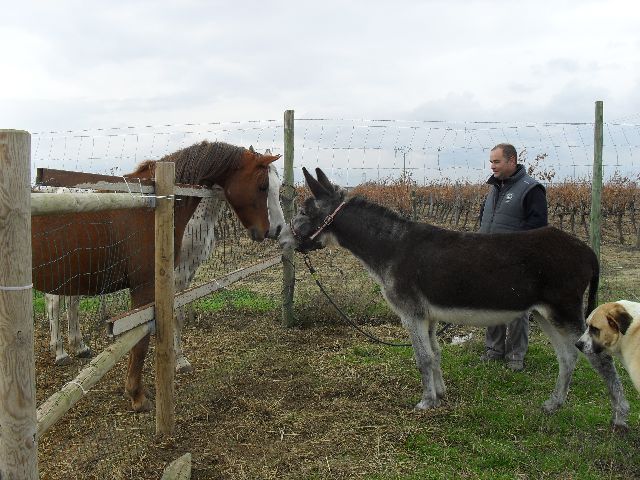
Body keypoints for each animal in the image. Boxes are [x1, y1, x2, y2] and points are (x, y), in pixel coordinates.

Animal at [31, 142, 278, 412]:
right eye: (263, 186)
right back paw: (61, 352)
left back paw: (77, 347)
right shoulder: (147, 286)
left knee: (69, 303)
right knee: (55, 305)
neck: (155, 205)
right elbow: (141, 340)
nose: (272, 230)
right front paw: (137, 395)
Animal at [280, 169, 632, 432]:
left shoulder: (411, 313)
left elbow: (422, 358)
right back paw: (554, 405)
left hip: (564, 310)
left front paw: (425, 403)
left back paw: (620, 419)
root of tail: (587, 250)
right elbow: (435, 355)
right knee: (568, 357)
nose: (281, 240)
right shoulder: (429, 316)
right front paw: (440, 394)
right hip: (544, 314)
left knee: (600, 360)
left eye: (304, 211)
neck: (390, 248)